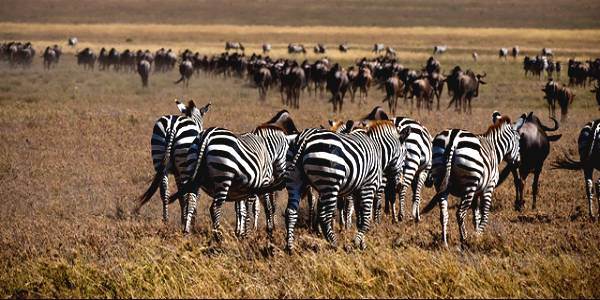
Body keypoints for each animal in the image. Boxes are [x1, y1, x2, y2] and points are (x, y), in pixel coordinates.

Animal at [179, 110, 298, 239]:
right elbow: (264, 207)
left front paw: (241, 233)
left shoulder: (243, 190)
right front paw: (264, 232)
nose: (282, 181)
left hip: (193, 174)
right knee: (215, 207)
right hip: (223, 179)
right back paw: (218, 236)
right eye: (288, 156)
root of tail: (207, 135)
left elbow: (242, 210)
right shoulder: (262, 184)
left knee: (190, 203)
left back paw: (187, 233)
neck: (267, 149)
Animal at [284, 120, 410, 251]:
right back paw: (335, 244)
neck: (378, 151)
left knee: (291, 212)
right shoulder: (369, 186)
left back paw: (290, 247)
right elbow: (365, 217)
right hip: (330, 184)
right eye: (406, 153)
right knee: (324, 216)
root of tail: (306, 136)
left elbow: (359, 217)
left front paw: (362, 244)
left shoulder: (357, 191)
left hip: (294, 181)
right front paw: (357, 242)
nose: (400, 184)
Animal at [420, 111, 524, 247]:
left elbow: (476, 216)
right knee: (460, 213)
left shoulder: (477, 192)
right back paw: (464, 239)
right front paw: (478, 235)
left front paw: (477, 232)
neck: (494, 148)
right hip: (469, 184)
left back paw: (445, 243)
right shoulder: (488, 187)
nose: (518, 163)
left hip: (441, 182)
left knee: (444, 214)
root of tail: (453, 137)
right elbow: (485, 214)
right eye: (519, 141)